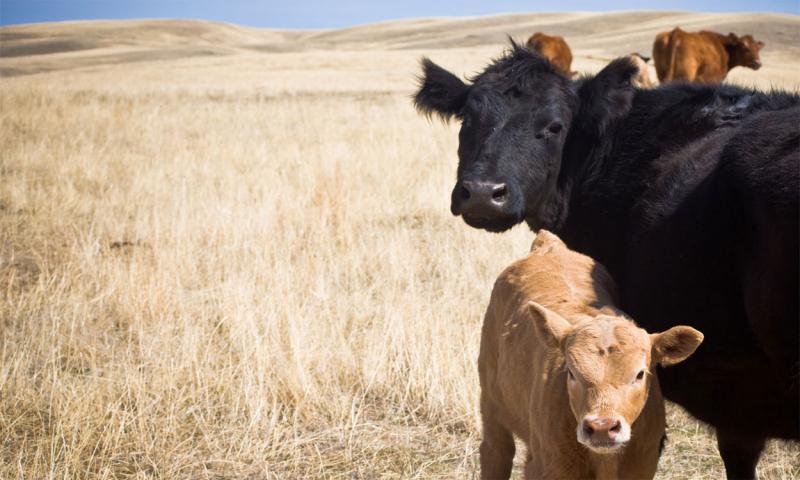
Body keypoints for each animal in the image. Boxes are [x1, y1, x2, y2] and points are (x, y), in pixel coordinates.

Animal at [479, 230, 703, 479]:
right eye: (571, 373)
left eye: (640, 374)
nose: (602, 428)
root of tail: (549, 246)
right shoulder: (545, 466)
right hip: (491, 403)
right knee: (496, 451)